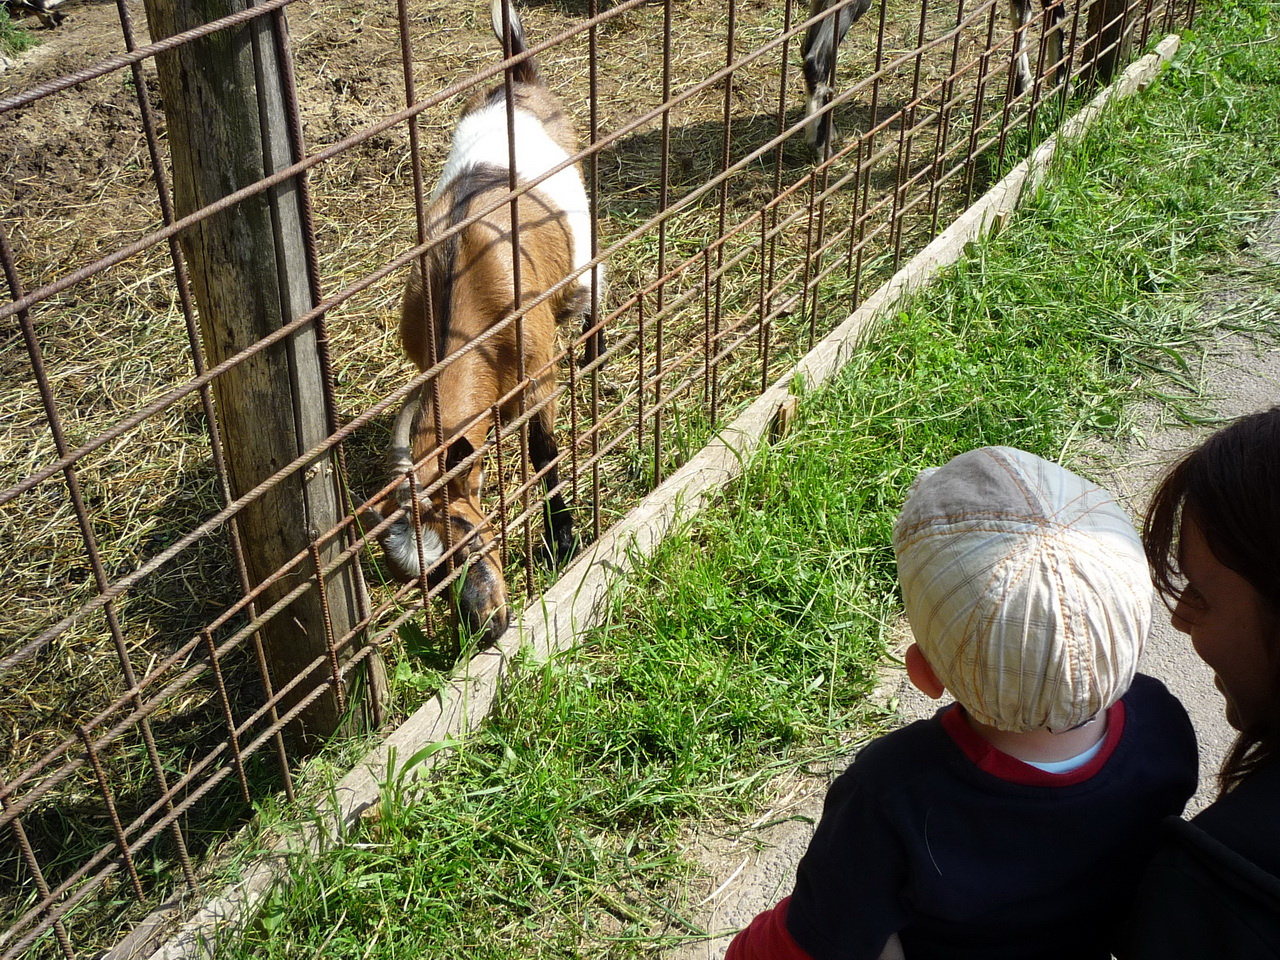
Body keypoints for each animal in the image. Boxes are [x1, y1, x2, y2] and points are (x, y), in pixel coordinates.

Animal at [360, 1, 599, 647]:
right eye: (425, 579)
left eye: (467, 531)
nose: (487, 627)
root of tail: (518, 80)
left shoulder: (538, 374)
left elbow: (543, 451)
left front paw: (562, 540)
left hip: (584, 245)